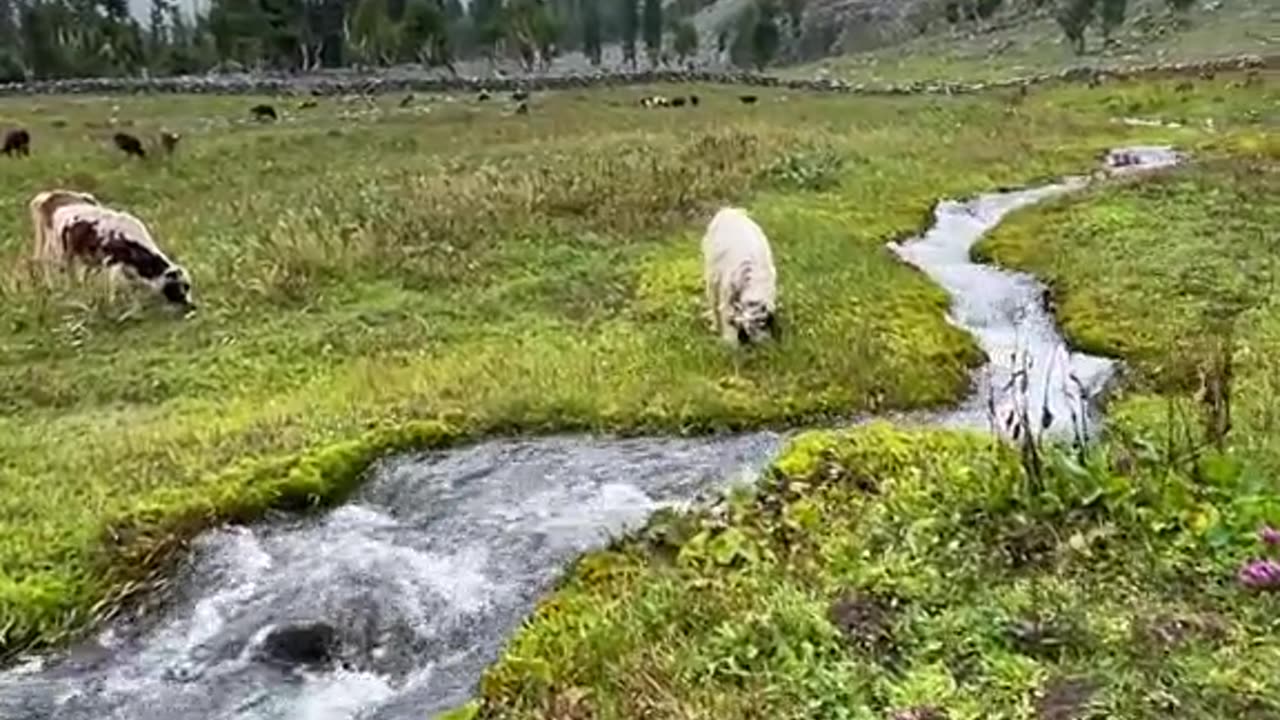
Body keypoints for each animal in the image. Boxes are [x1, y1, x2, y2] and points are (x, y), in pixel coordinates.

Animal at [28, 188, 194, 308]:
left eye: (188, 286)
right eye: (181, 286)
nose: (191, 305)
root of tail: (48, 196)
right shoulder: (112, 262)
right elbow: (116, 286)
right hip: (57, 250)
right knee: (52, 268)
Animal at [706, 204, 773, 345]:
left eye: (763, 324)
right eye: (752, 328)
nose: (765, 343)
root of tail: (729, 211)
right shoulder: (726, 294)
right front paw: (730, 342)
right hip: (711, 274)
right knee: (713, 302)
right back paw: (714, 324)